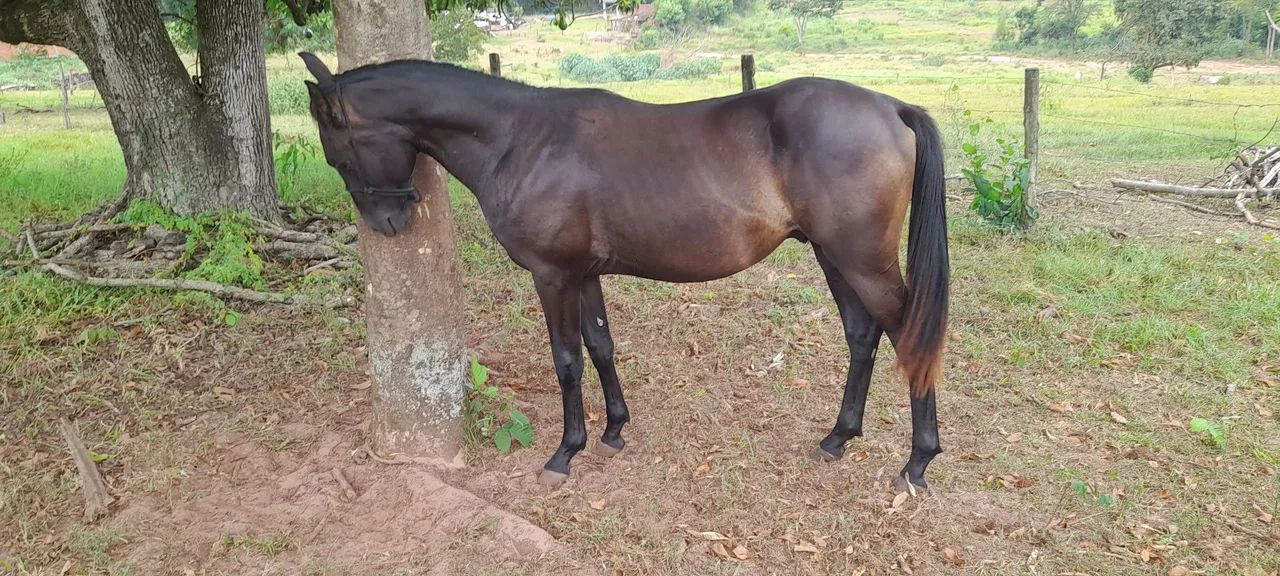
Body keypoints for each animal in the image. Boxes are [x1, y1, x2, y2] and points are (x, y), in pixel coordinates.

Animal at [298, 52, 949, 493]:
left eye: (339, 153)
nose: (387, 220)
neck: (520, 139)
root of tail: (890, 107)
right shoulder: (584, 274)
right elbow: (601, 346)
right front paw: (613, 429)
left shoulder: (552, 276)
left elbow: (566, 360)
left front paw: (566, 451)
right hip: (833, 256)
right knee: (862, 335)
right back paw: (839, 437)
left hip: (860, 260)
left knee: (906, 335)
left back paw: (917, 460)